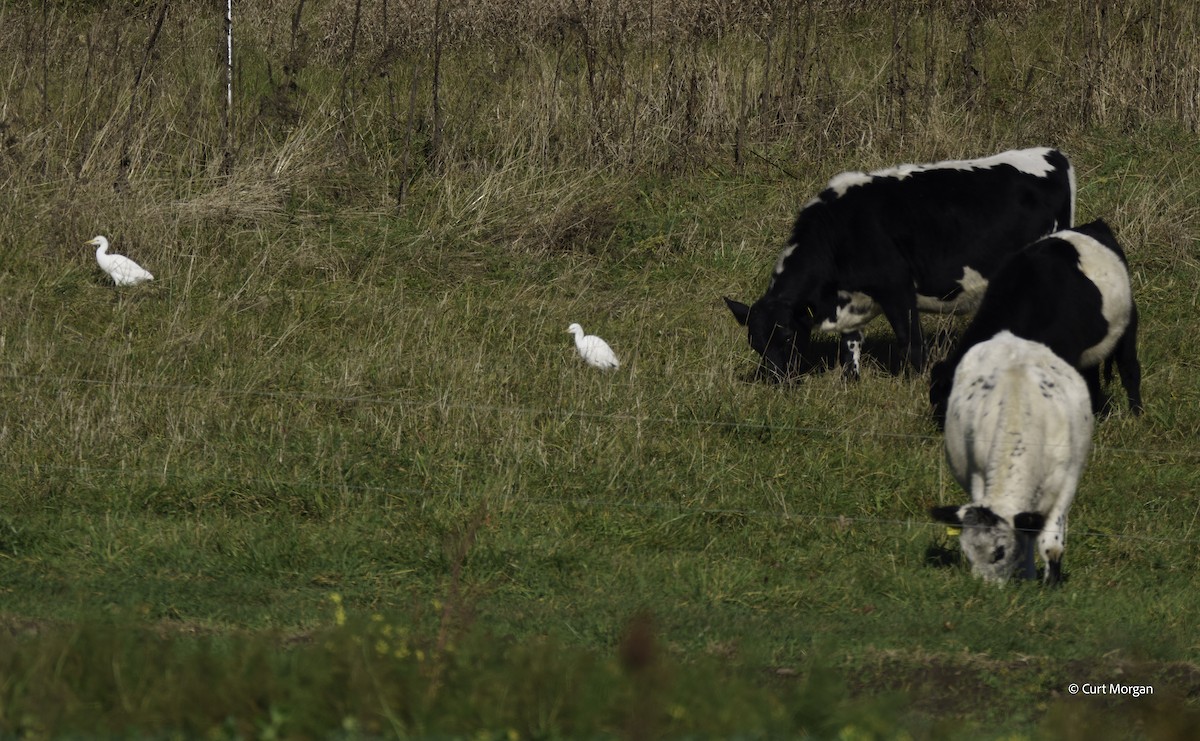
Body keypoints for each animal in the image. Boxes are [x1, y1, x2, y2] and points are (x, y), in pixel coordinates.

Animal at [724, 147, 1075, 381]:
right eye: (755, 343)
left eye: (786, 336)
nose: (774, 379)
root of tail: (1051, 154)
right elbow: (851, 343)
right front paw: (851, 380)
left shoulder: (898, 289)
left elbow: (911, 342)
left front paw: (914, 381)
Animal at [930, 331, 1094, 585]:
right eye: (967, 553)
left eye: (999, 552)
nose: (982, 587)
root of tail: (1007, 336)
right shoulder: (978, 477)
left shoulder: (1066, 485)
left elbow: (1051, 545)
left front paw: (1050, 583)